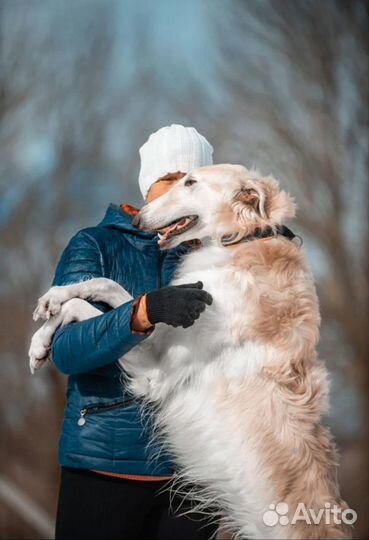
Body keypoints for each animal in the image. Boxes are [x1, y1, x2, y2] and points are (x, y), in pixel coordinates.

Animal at [29, 165, 350, 540]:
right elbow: (108, 290)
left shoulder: (155, 367)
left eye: (190, 182)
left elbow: (85, 307)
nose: (138, 219)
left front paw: (48, 324)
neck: (246, 239)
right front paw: (43, 331)